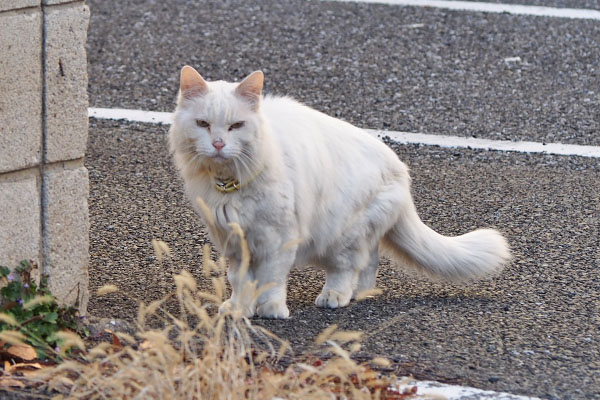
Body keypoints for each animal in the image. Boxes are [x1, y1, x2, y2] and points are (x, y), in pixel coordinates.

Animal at [169, 67, 510, 320]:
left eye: (236, 126)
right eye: (203, 124)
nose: (218, 144)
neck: (229, 184)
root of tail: (399, 168)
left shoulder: (278, 237)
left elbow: (272, 278)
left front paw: (271, 310)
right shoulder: (232, 240)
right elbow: (240, 280)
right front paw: (238, 308)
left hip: (342, 234)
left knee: (348, 267)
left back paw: (335, 296)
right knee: (370, 262)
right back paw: (361, 293)